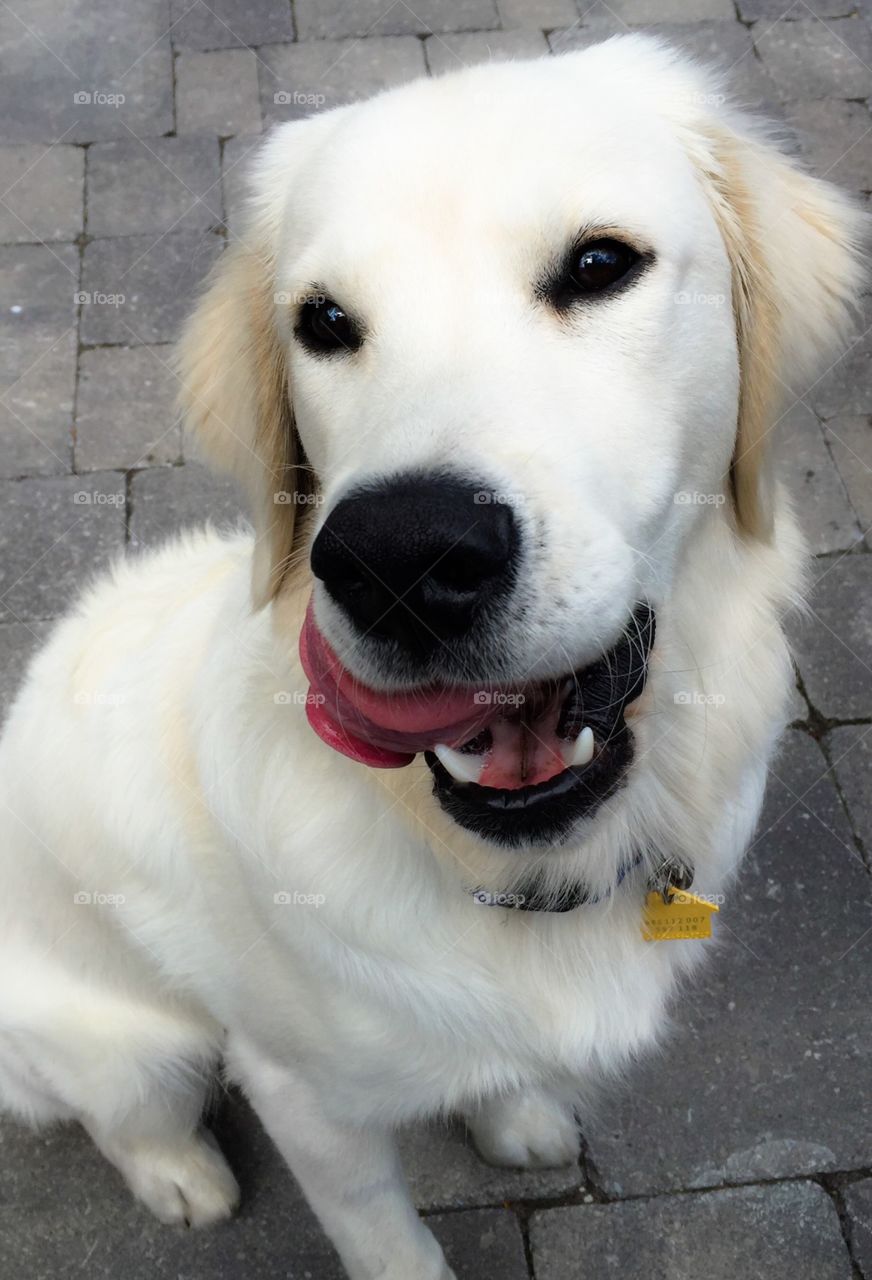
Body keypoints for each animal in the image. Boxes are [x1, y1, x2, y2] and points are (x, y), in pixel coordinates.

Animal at [0, 37, 860, 1280]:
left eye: (599, 264)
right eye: (321, 321)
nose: (400, 555)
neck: (511, 876)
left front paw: (512, 1111)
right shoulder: (301, 1095)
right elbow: (384, 1232)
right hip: (114, 1037)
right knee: (126, 1113)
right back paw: (181, 1175)